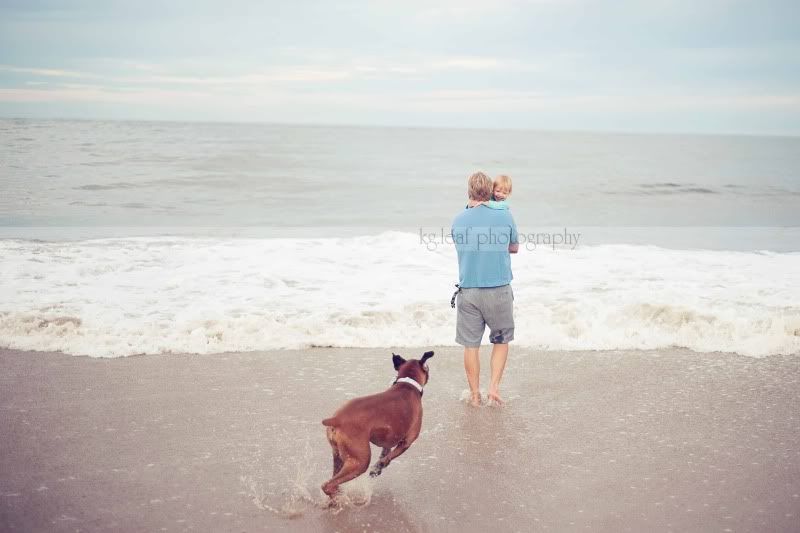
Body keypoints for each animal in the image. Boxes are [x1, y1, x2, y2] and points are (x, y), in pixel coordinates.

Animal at [318, 350, 434, 494]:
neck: (407, 385)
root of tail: (336, 419)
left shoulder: (388, 440)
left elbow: (385, 454)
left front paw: (378, 468)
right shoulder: (406, 442)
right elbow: (389, 457)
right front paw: (378, 467)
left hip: (338, 456)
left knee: (333, 481)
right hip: (360, 461)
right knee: (328, 485)